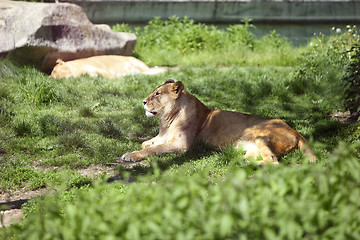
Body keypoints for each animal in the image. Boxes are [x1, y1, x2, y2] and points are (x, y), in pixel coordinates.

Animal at [120, 79, 316, 164]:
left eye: (157, 94)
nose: (143, 101)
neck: (166, 121)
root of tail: (296, 132)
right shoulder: (162, 137)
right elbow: (146, 143)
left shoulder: (183, 145)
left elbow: (153, 149)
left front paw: (131, 155)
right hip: (249, 145)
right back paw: (240, 161)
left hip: (259, 134)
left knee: (273, 160)